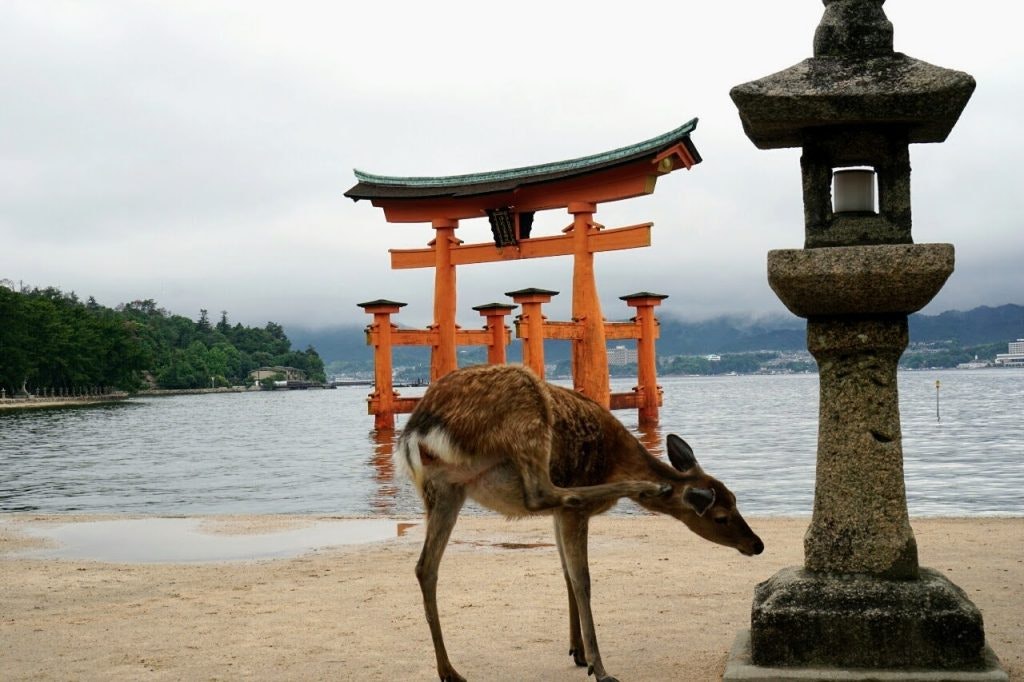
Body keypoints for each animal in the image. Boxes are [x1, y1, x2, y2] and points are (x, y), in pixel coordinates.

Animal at [395, 364, 765, 679]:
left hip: (445, 490)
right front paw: (597, 666)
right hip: (527, 414)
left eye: (736, 499)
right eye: (721, 517)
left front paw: (578, 652)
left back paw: (449, 671)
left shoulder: (559, 517)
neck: (618, 459)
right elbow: (582, 579)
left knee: (425, 567)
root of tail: (418, 431)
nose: (757, 544)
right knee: (540, 493)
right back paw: (643, 487)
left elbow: (565, 575)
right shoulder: (573, 514)